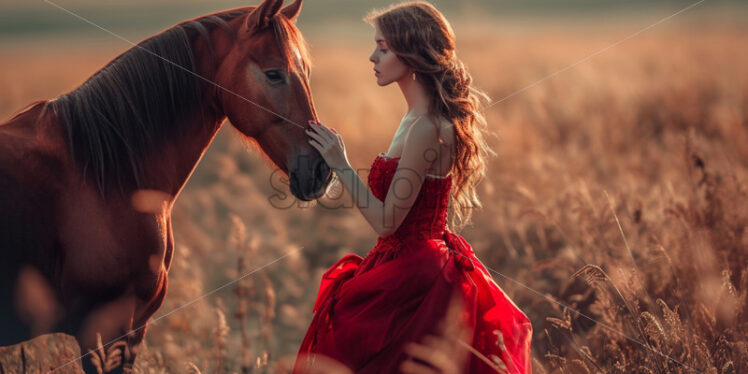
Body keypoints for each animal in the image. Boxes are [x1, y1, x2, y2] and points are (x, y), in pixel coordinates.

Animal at [0, 0, 328, 372]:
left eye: (306, 72)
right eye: (274, 73)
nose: (321, 169)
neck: (105, 173)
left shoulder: (132, 330)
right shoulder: (101, 329)